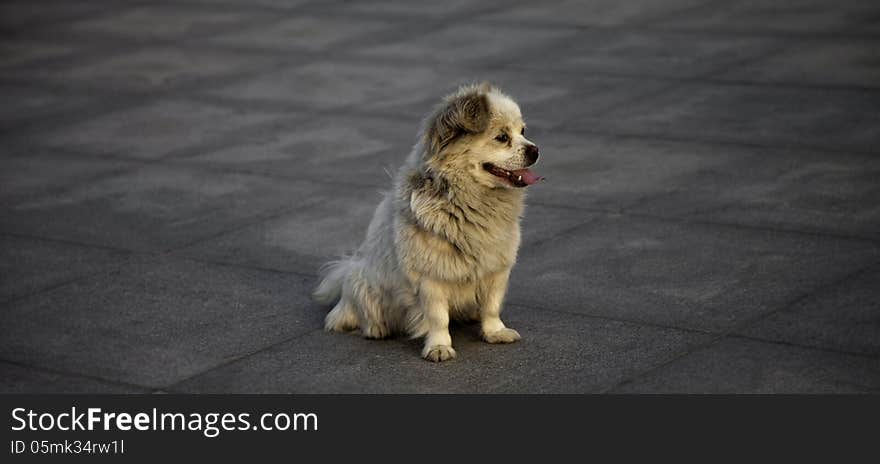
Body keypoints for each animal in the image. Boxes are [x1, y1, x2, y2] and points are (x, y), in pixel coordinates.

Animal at [312, 83, 540, 362]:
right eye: (502, 137)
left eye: (523, 132)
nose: (535, 150)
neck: (469, 202)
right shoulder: (431, 278)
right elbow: (438, 317)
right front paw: (439, 347)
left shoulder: (496, 269)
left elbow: (492, 305)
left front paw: (495, 332)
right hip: (363, 285)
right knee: (361, 314)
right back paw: (376, 328)